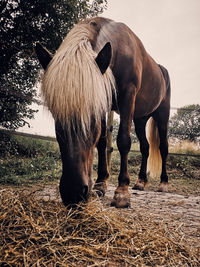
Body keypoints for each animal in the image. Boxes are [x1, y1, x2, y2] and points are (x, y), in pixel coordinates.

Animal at [35, 17, 170, 209]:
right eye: (56, 116)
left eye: (91, 117)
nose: (73, 193)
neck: (119, 49)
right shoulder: (104, 101)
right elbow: (102, 142)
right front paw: (100, 184)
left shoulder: (127, 97)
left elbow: (123, 141)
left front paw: (122, 192)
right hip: (140, 119)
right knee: (145, 147)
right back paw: (141, 182)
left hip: (162, 115)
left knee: (163, 147)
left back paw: (163, 183)